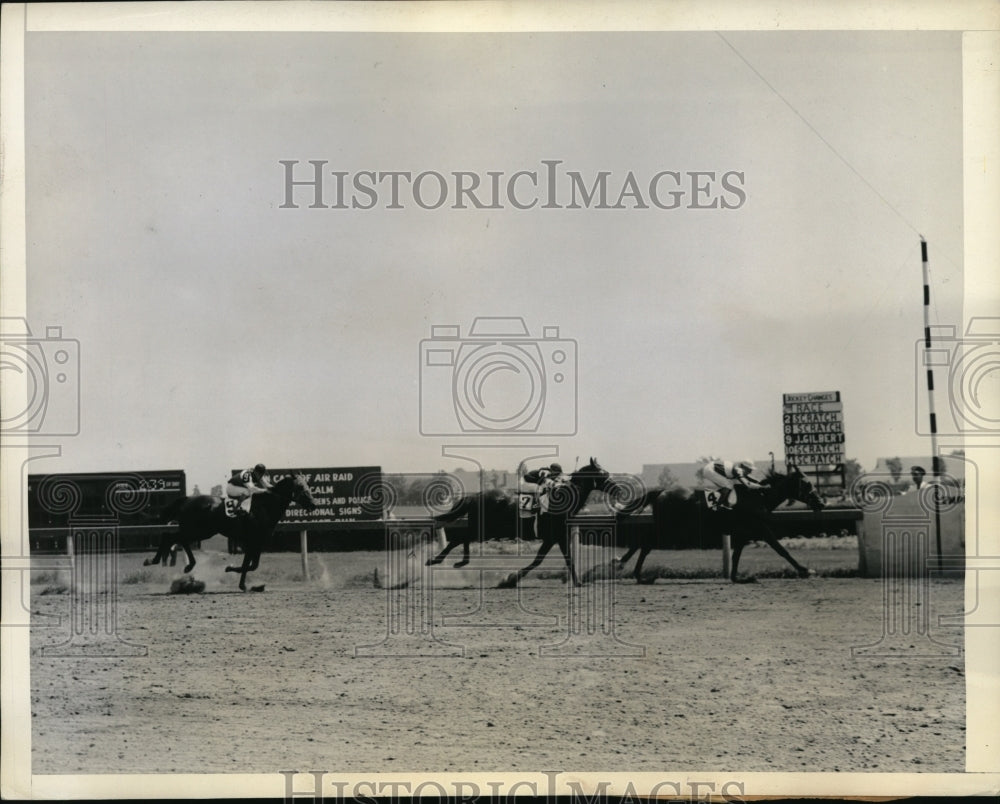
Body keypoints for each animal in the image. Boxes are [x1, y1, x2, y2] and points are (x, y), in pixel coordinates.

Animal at [144, 478, 316, 592]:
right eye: (301, 488)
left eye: (308, 486)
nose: (314, 504)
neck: (264, 507)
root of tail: (187, 500)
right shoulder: (252, 541)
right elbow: (248, 565)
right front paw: (236, 576)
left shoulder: (257, 542)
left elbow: (252, 565)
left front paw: (243, 580)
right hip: (199, 530)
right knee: (172, 537)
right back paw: (153, 560)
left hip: (200, 531)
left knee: (179, 539)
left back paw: (187, 565)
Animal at [498, 458, 608, 592]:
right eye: (602, 473)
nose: (615, 485)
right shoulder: (558, 538)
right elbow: (563, 559)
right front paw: (511, 579)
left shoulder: (553, 539)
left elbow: (541, 560)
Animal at [612, 464, 824, 584]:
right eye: (807, 484)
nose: (821, 503)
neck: (760, 496)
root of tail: (662, 491)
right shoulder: (761, 529)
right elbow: (782, 550)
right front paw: (806, 570)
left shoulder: (743, 533)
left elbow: (736, 556)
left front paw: (738, 577)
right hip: (668, 528)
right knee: (645, 544)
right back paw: (637, 574)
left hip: (666, 527)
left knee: (643, 543)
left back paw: (628, 568)